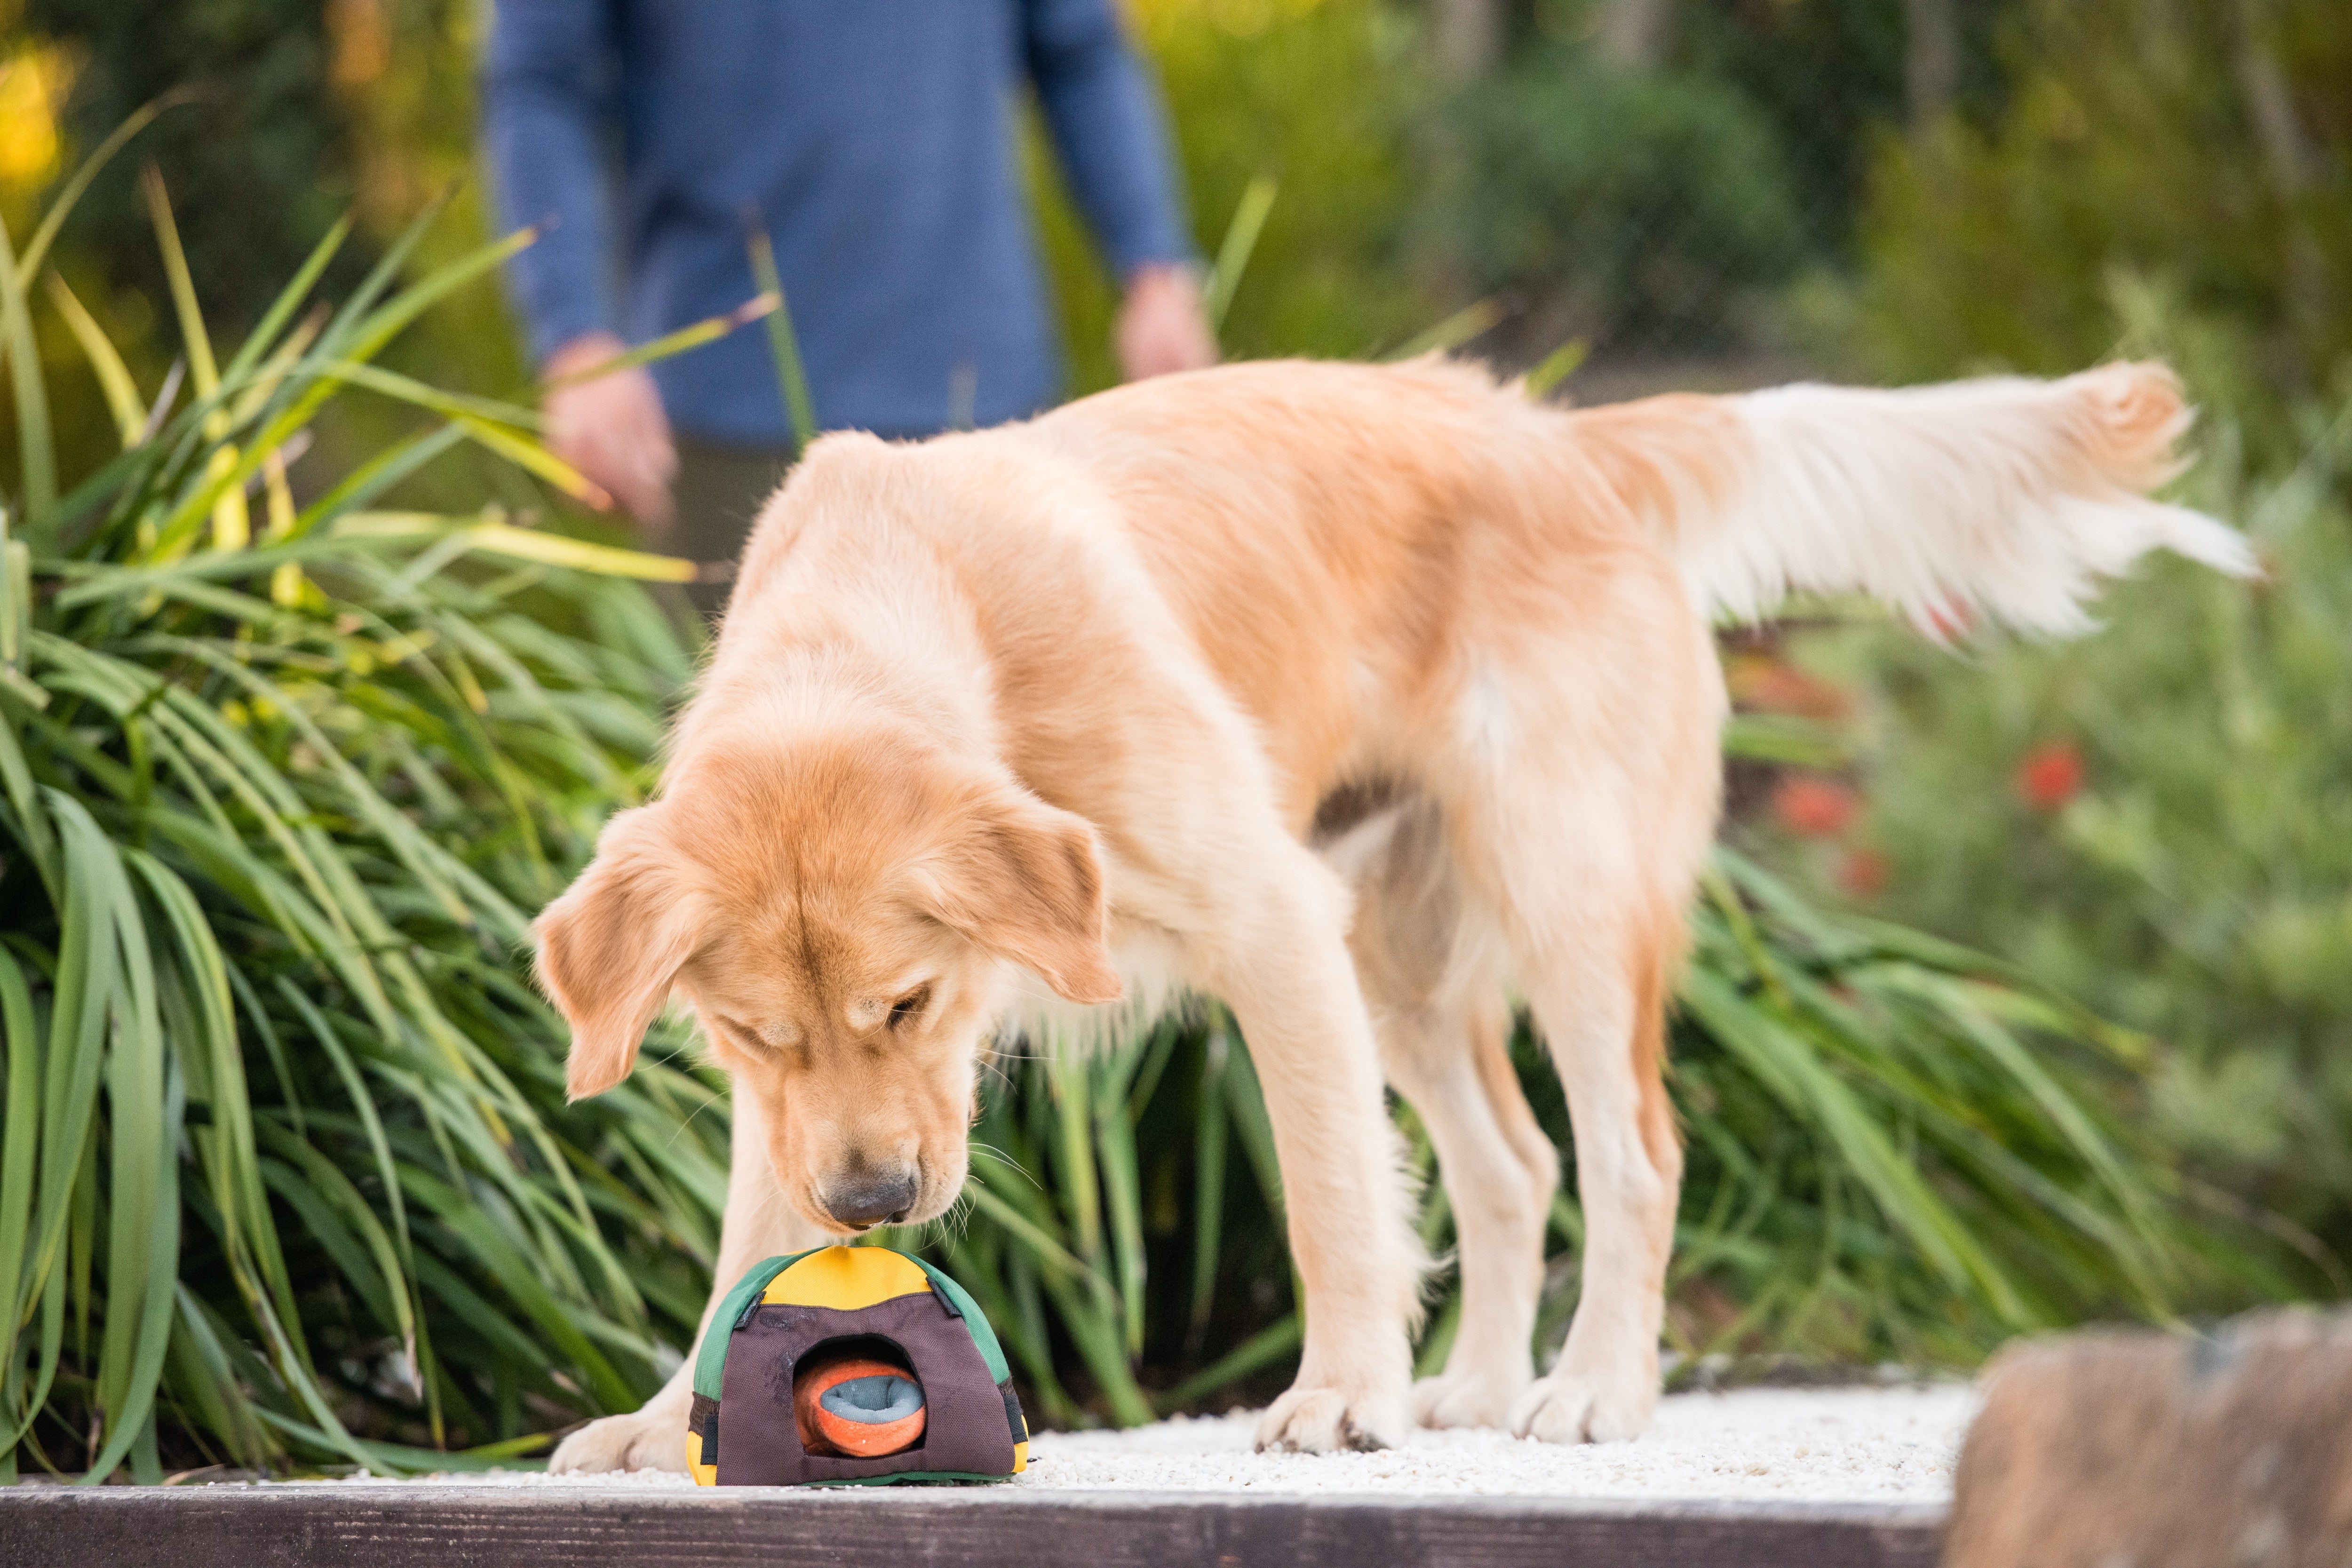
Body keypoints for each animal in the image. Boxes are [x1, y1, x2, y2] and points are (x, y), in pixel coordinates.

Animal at [534, 355, 2239, 1476]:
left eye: (912, 1001)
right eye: (752, 1036)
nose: (876, 1205)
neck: (917, 599)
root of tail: (1565, 437)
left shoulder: (1271, 925)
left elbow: (1330, 1196)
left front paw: (1346, 1392)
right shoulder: (793, 1107)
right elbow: (743, 1239)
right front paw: (668, 1418)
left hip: (1557, 897)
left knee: (1632, 1153)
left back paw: (1592, 1389)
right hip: (1401, 958)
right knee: (1516, 1163)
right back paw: (1476, 1386)